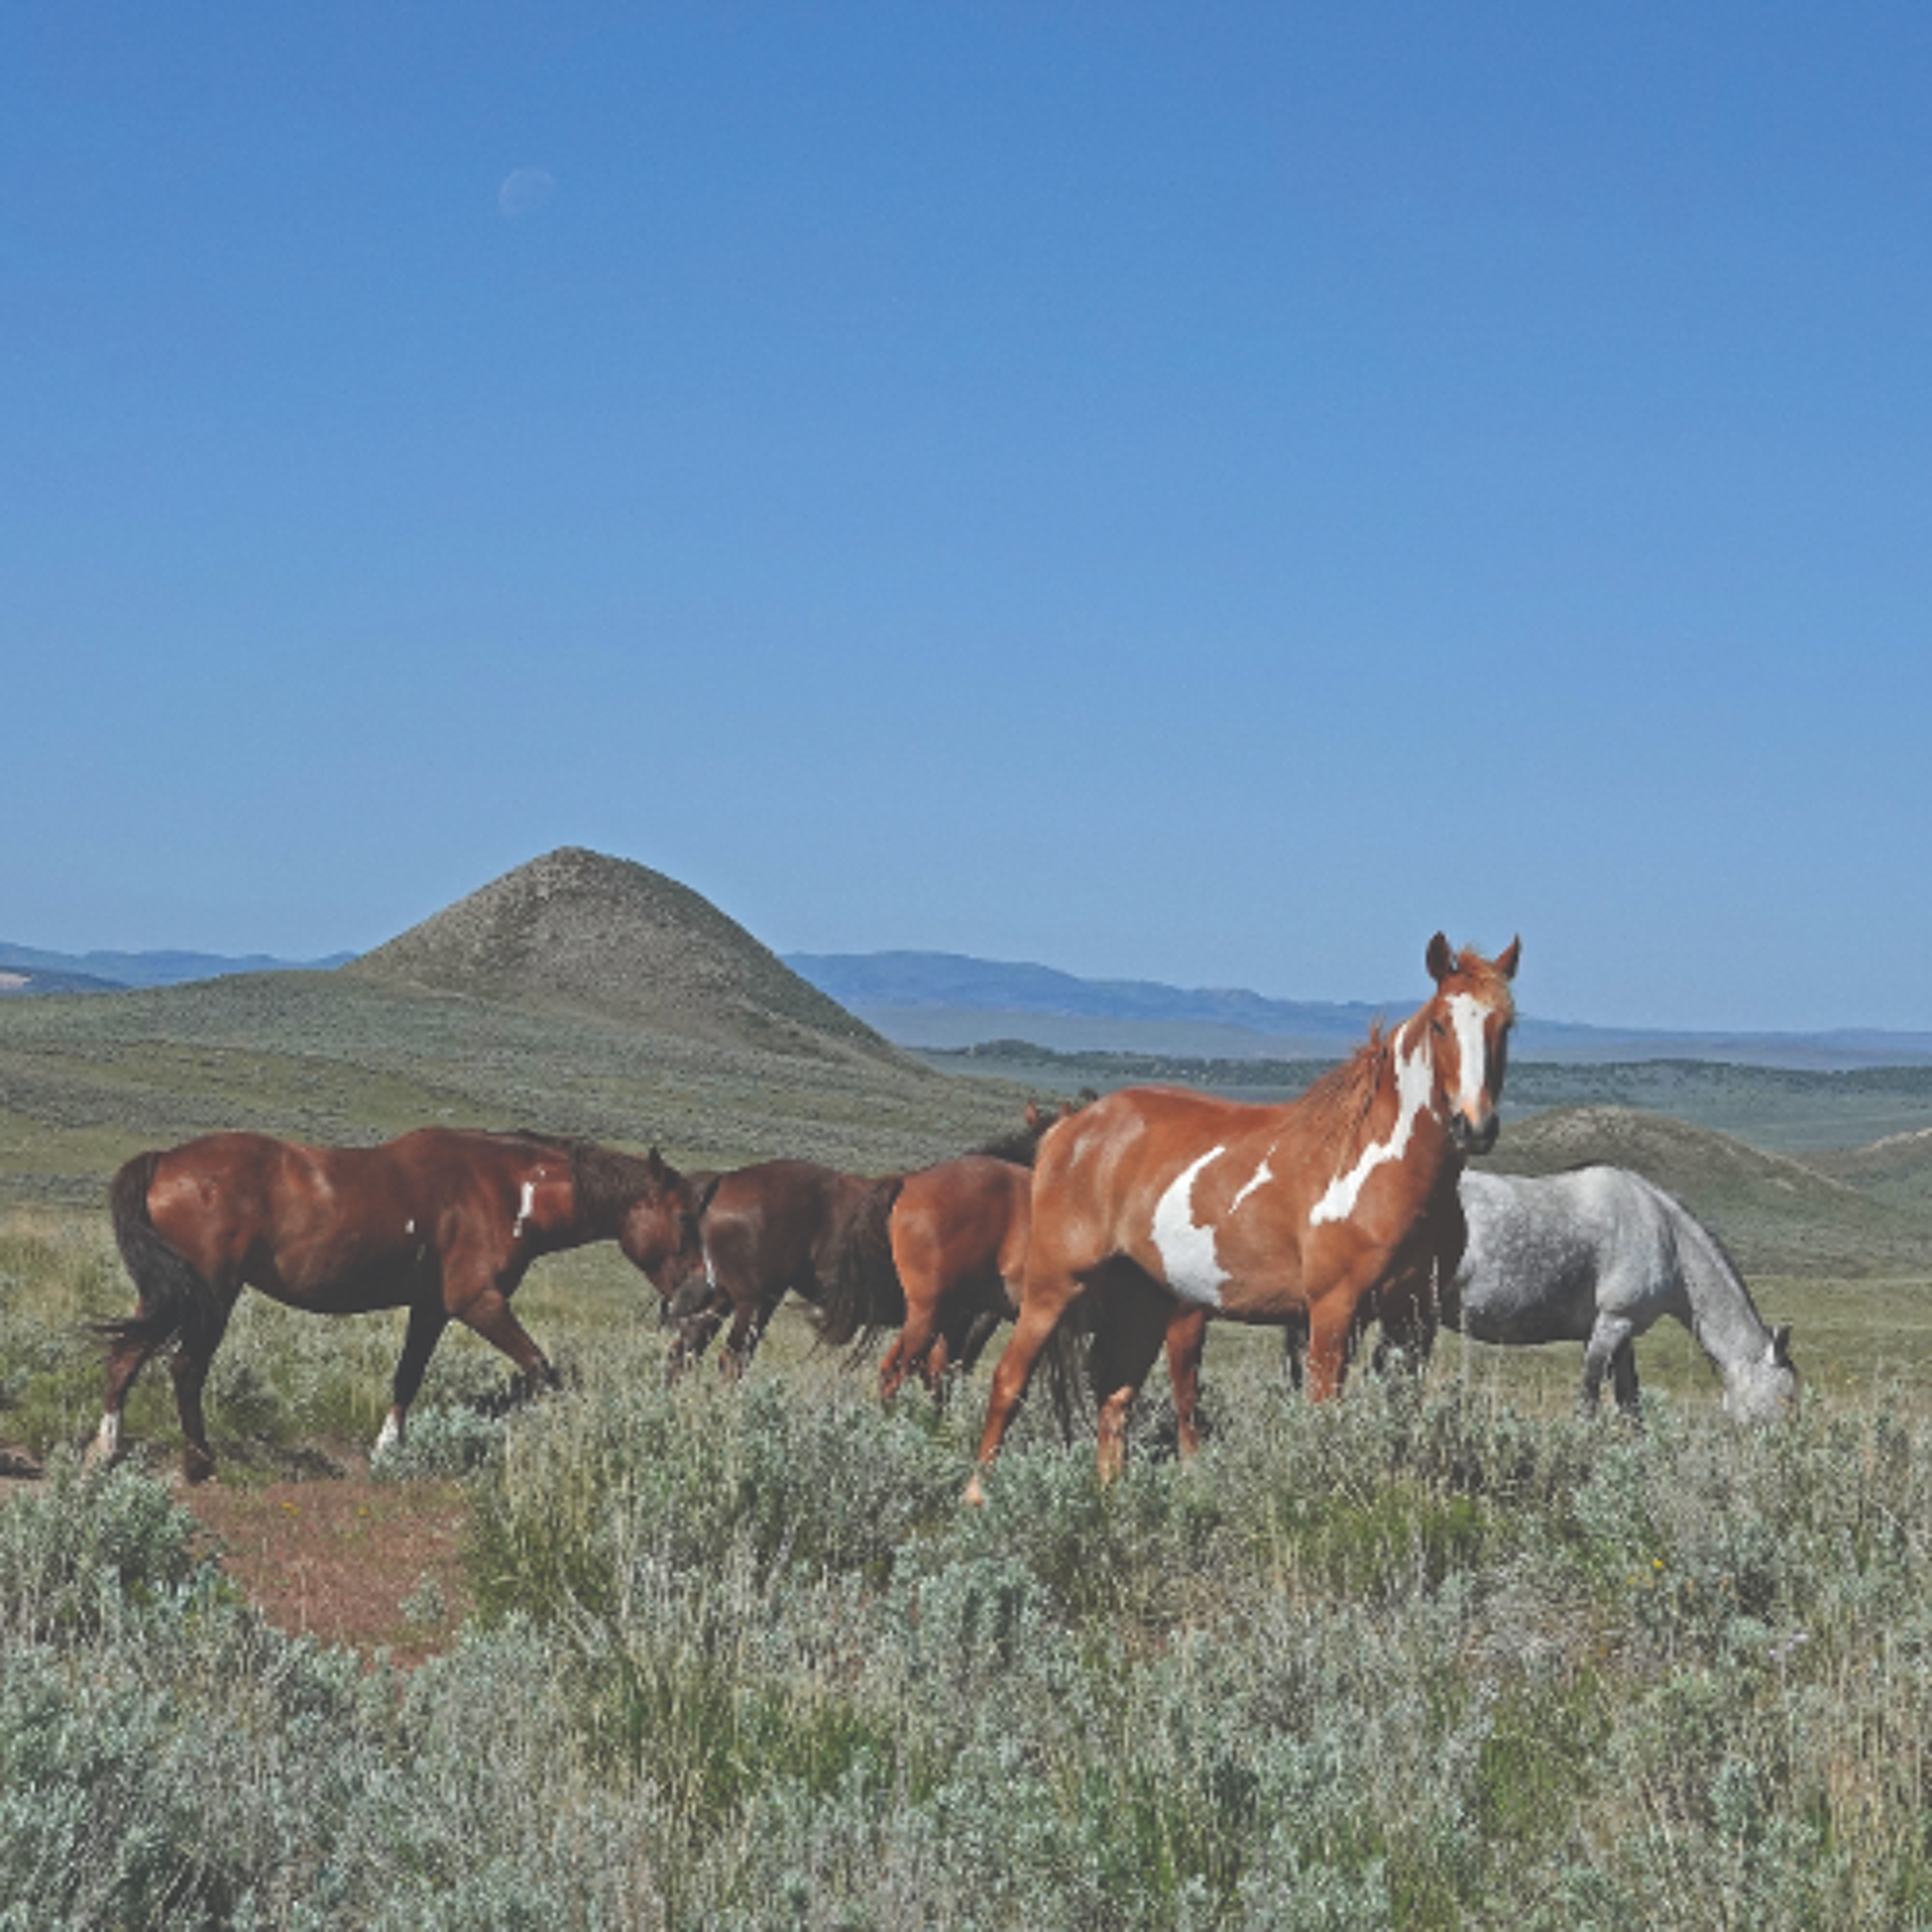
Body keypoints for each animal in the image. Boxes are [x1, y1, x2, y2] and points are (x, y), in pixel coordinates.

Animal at [93, 1128, 704, 1480]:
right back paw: (199, 1462)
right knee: (185, 1367)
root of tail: (165, 1161)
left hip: (168, 1296)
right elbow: (541, 1370)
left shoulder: (431, 1309)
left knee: (126, 1358)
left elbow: (407, 1377)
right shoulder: (478, 1303)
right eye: (683, 1217)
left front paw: (388, 1450)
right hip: (211, 1294)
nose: (700, 1294)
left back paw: (106, 1451)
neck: (509, 1192)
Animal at [966, 933, 1520, 1500]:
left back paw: (1111, 1496)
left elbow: (1401, 1413)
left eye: (1506, 1025)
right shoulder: (1333, 1311)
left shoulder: (1413, 1319)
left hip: (1143, 1302)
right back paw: (975, 1496)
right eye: (1441, 1024)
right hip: (1054, 1287)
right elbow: (1323, 1411)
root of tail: (1070, 1131)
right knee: (1009, 1381)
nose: (1475, 1126)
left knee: (1115, 1396)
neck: (1376, 1166)